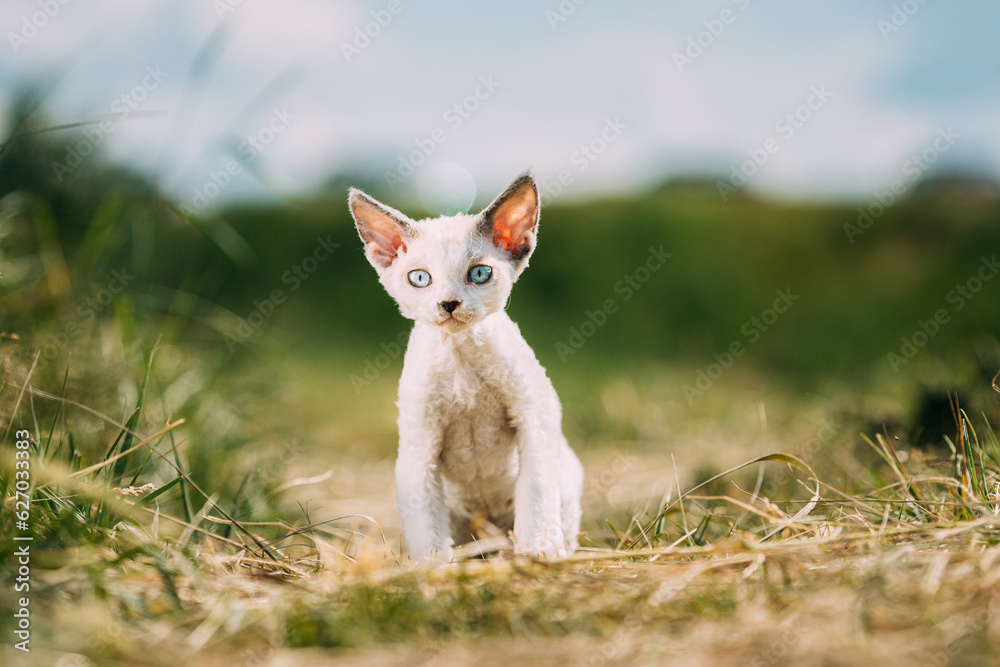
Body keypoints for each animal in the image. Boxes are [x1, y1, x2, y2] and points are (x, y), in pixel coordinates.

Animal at [352, 174, 584, 564]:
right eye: (419, 278)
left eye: (479, 273)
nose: (449, 303)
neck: (460, 357)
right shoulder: (419, 441)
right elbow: (423, 516)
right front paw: (432, 564)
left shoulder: (536, 413)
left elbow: (537, 485)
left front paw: (538, 549)